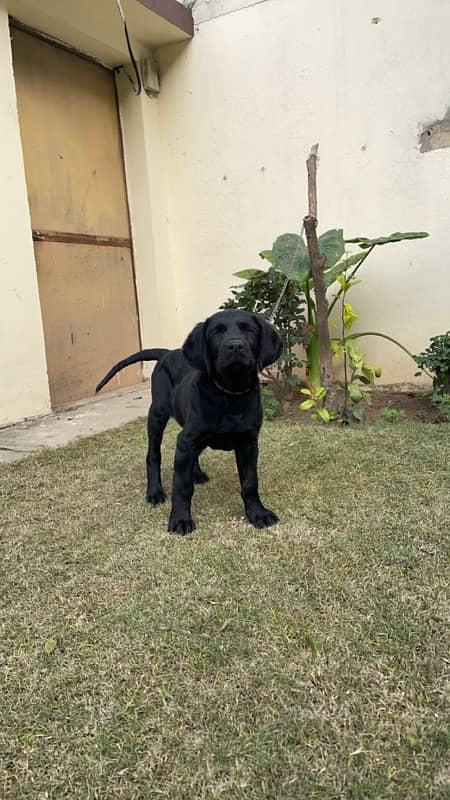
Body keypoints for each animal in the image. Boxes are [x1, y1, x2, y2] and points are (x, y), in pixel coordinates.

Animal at [96, 310, 284, 536]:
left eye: (249, 330)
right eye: (216, 332)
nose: (235, 346)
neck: (229, 394)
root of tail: (168, 353)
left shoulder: (248, 443)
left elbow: (250, 483)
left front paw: (257, 513)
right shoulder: (187, 439)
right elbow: (182, 486)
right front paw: (180, 519)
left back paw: (197, 473)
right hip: (157, 415)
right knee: (153, 455)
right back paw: (155, 491)